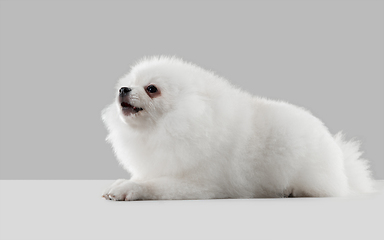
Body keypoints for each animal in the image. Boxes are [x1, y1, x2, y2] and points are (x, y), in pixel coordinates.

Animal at [102, 56, 376, 201]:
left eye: (152, 89)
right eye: (130, 83)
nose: (123, 89)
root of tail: (341, 160)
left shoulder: (202, 184)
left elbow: (153, 186)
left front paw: (128, 189)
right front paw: (120, 183)